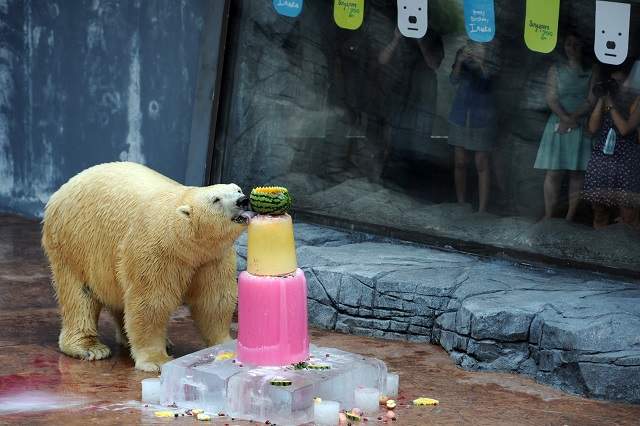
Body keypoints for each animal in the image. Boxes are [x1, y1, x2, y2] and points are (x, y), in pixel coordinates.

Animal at [41, 161, 251, 372]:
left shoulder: (213, 258)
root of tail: (60, 191)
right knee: (79, 293)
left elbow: (214, 300)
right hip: (73, 241)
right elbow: (150, 303)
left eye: (238, 189)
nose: (243, 200)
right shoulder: (156, 251)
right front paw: (156, 361)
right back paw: (90, 348)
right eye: (216, 199)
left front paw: (224, 344)